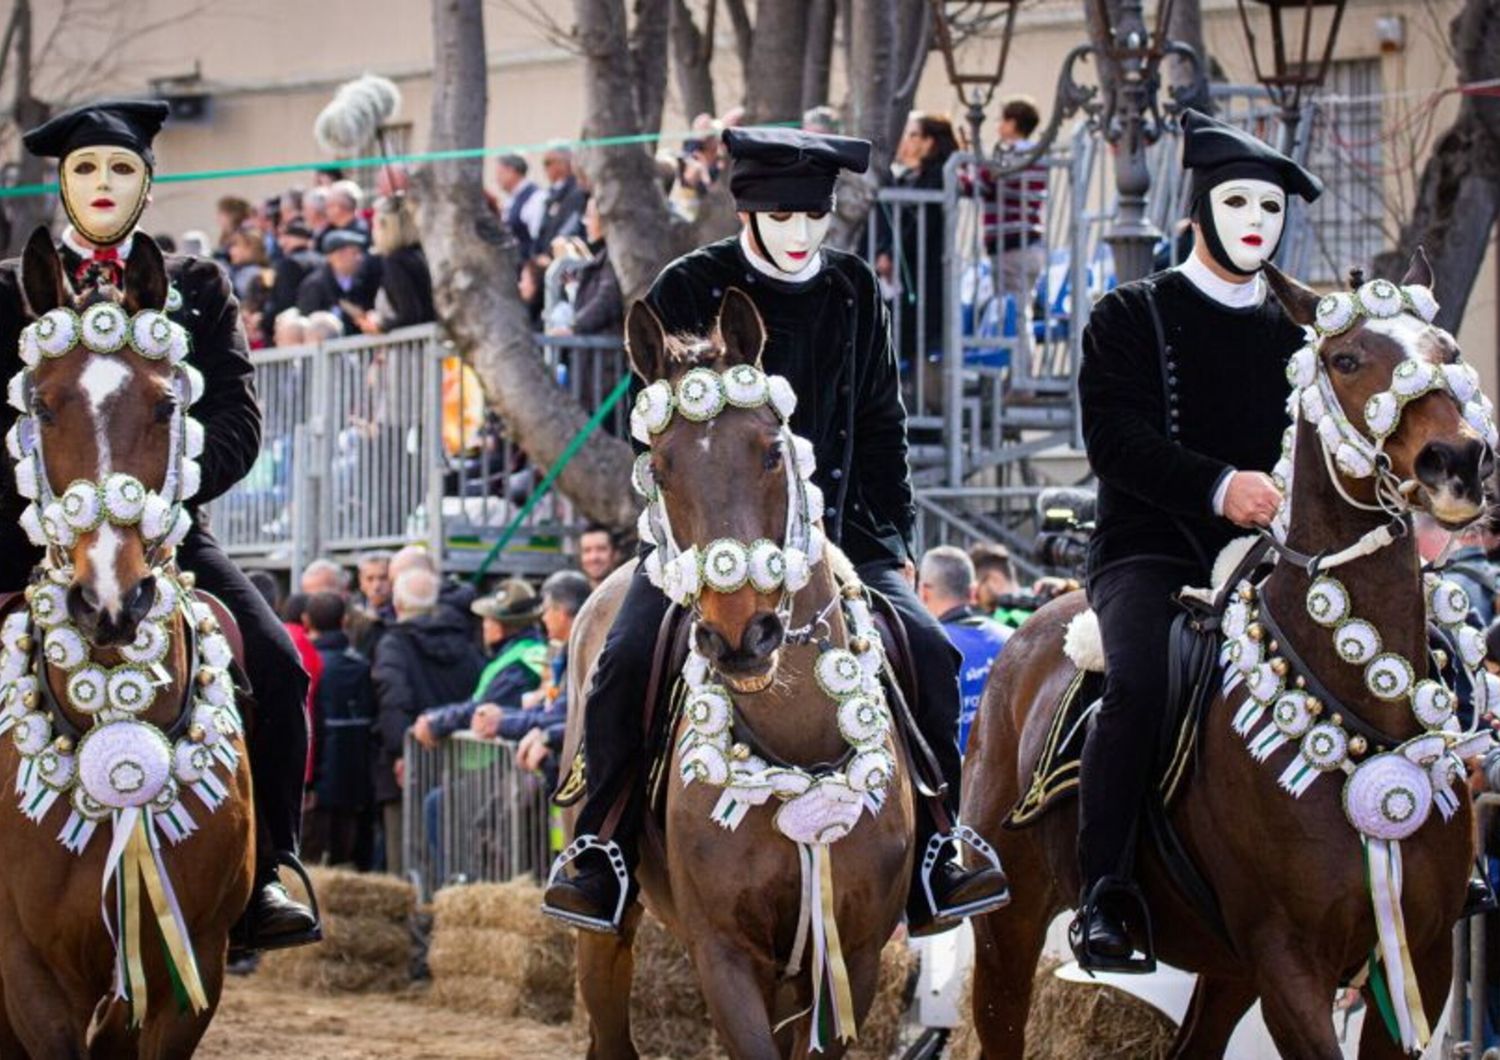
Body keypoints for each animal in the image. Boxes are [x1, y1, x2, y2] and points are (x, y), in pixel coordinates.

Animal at [561, 286, 912, 1055]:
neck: (797, 744)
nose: (739, 636)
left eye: (771, 453)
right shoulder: (723, 953)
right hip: (603, 938)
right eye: (660, 468)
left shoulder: (854, 959)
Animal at [966, 250, 1494, 1060]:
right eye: (1345, 359)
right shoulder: (1289, 962)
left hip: (1225, 968)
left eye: (1449, 349)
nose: (1457, 461)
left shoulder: (1421, 960)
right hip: (1010, 926)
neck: (1361, 706)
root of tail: (1028, 631)